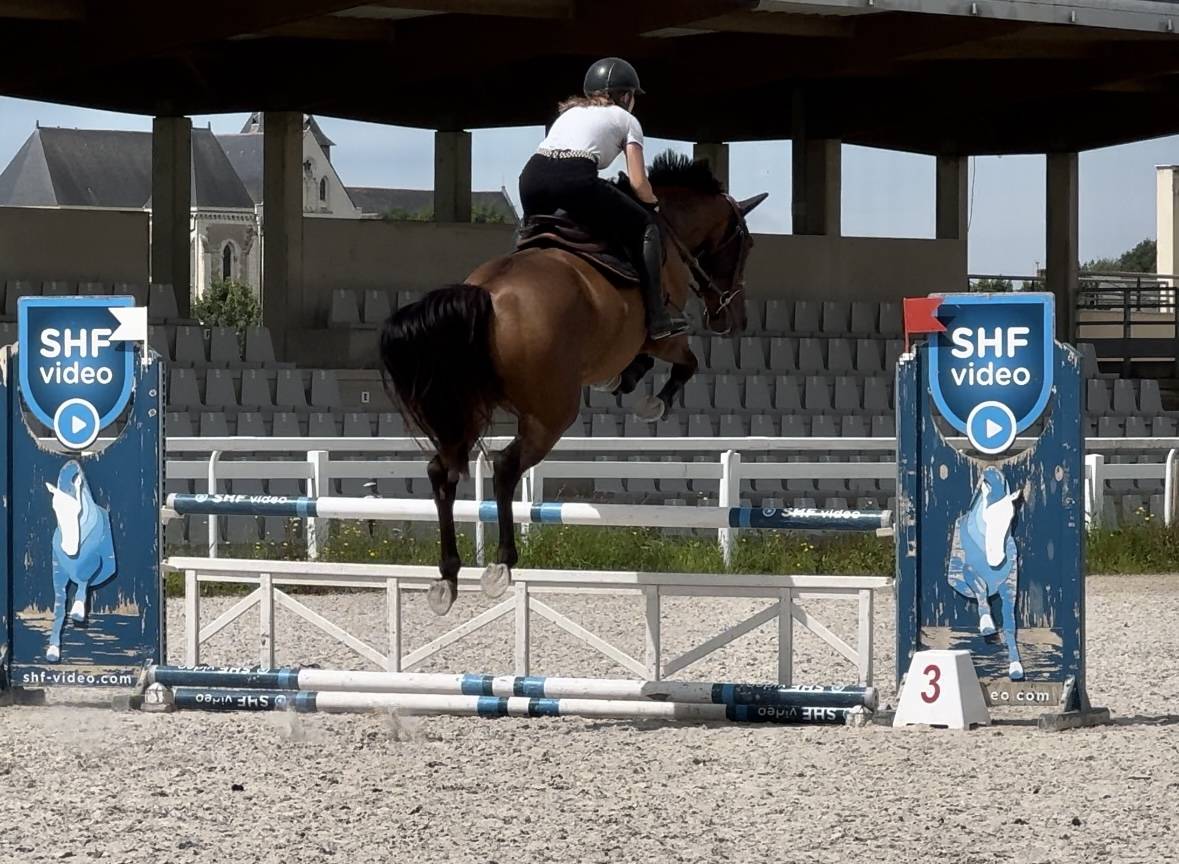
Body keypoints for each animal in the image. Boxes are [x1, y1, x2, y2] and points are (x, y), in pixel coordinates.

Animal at [44, 460, 117, 662]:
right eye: (55, 508)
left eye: (78, 510)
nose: (68, 548)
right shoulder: (58, 572)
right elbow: (59, 606)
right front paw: (53, 651)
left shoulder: (95, 562)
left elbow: (85, 578)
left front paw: (77, 612)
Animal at [379, 151, 767, 615]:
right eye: (746, 245)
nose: (734, 319)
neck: (670, 230)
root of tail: (486, 294)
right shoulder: (665, 337)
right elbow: (686, 364)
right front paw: (651, 403)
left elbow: (643, 367)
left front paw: (624, 382)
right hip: (552, 414)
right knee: (505, 466)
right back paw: (501, 564)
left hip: (467, 407)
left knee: (444, 471)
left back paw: (448, 576)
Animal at [947, 465, 1024, 679]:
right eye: (986, 517)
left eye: (1011, 517)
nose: (997, 559)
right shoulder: (967, 573)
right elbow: (981, 591)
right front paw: (987, 626)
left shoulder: (1010, 585)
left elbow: (1010, 624)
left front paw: (1016, 668)